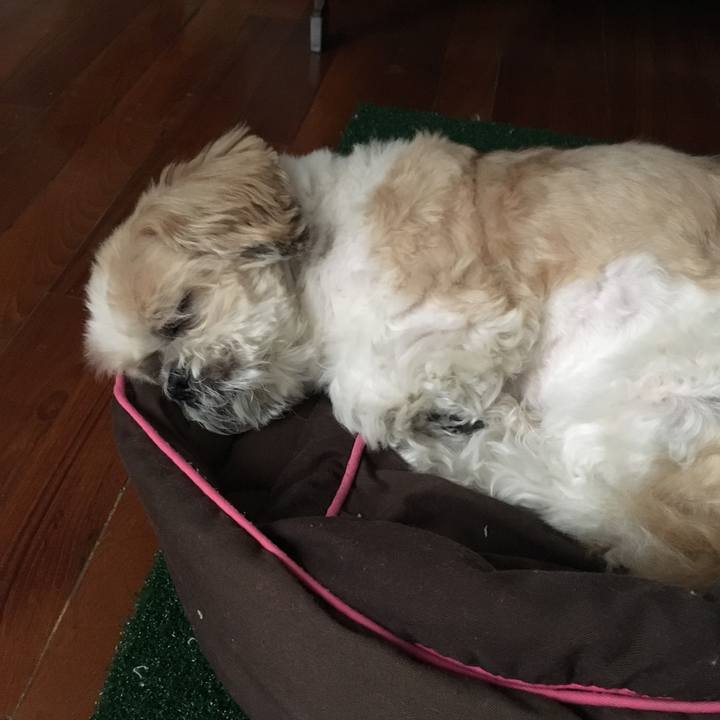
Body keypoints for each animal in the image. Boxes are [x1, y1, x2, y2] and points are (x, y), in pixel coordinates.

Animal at [85, 126, 720, 587]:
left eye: (180, 316)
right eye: (149, 371)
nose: (178, 385)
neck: (324, 248)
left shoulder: (464, 312)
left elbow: (358, 394)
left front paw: (431, 409)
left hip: (641, 389)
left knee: (605, 504)